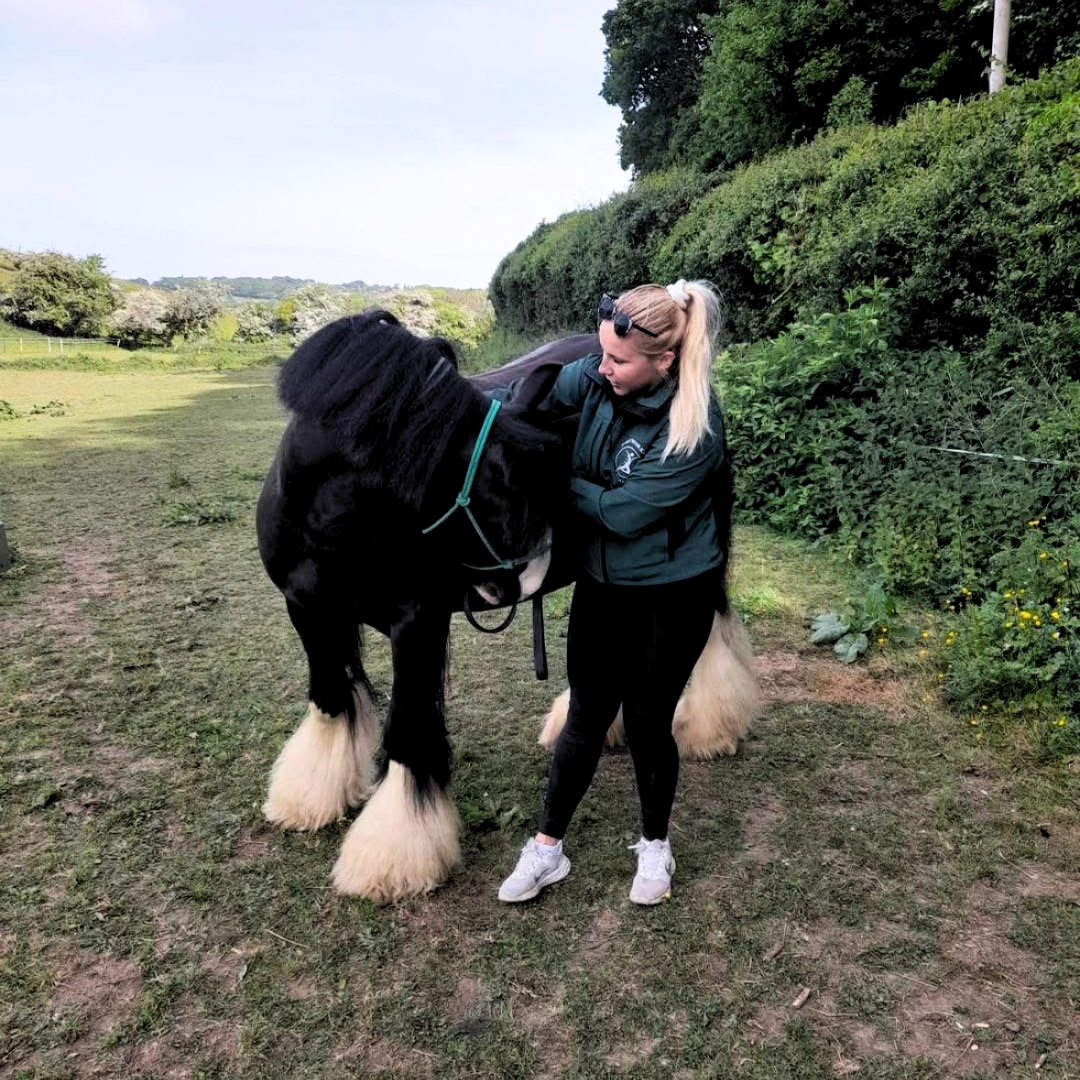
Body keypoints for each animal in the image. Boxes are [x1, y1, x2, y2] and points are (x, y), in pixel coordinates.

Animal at [257, 310, 758, 903]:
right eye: (486, 480)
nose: (520, 577)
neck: (333, 516)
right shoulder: (308, 611)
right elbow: (330, 696)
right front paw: (309, 798)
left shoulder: (417, 624)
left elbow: (408, 727)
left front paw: (393, 852)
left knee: (714, 624)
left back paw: (712, 726)